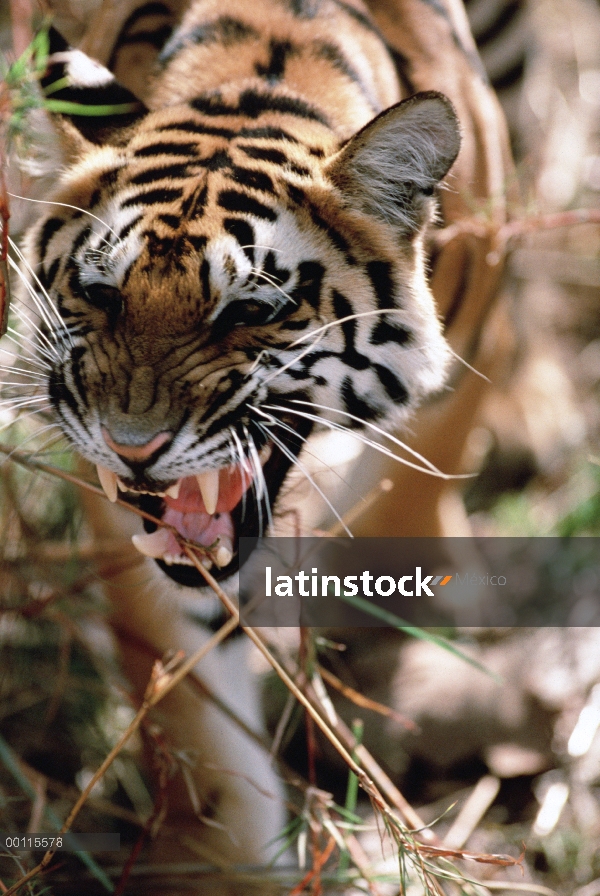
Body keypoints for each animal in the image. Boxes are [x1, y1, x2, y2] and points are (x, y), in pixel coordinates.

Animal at [9, 0, 510, 872]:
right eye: (101, 294)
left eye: (249, 310)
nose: (131, 446)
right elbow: (193, 707)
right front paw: (226, 864)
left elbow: (428, 473)